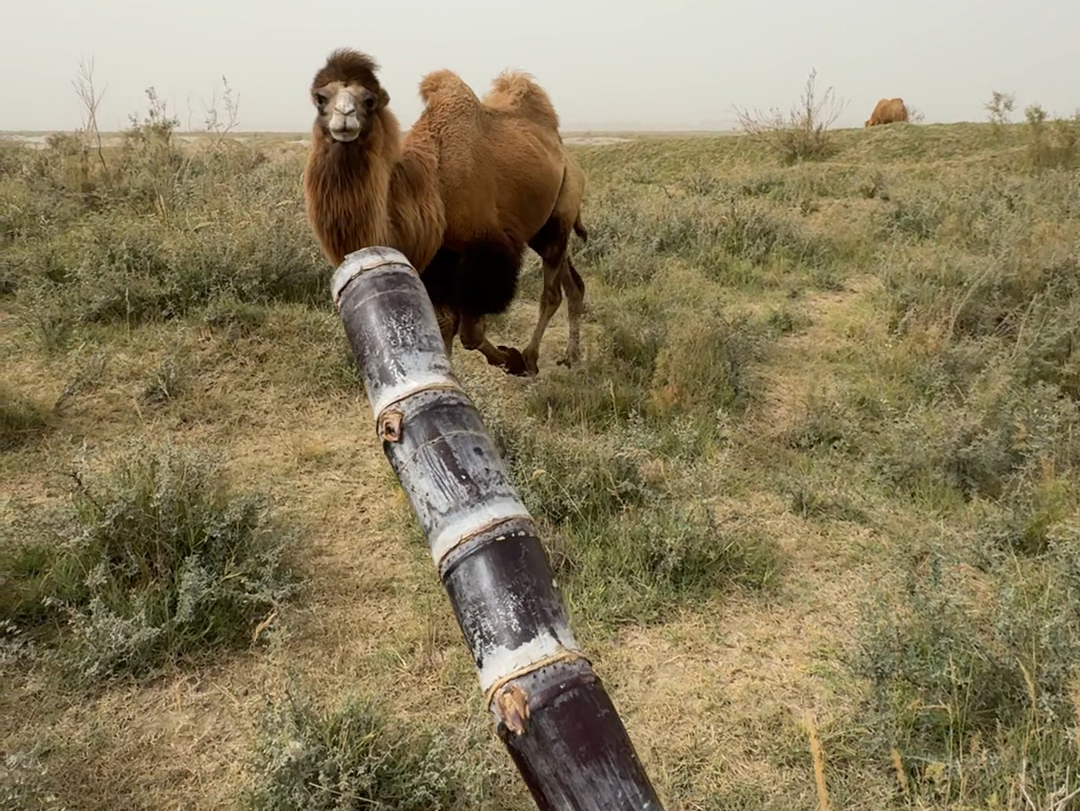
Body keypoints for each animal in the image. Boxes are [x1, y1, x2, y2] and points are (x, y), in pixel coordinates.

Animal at [300, 49, 587, 377]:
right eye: (320, 98)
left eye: (369, 100)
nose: (344, 117)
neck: (430, 186)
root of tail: (565, 153)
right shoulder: (435, 263)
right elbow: (445, 326)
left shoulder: (483, 251)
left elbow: (470, 334)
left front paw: (511, 359)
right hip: (541, 228)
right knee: (573, 282)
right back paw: (571, 355)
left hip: (562, 208)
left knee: (551, 292)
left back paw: (530, 357)